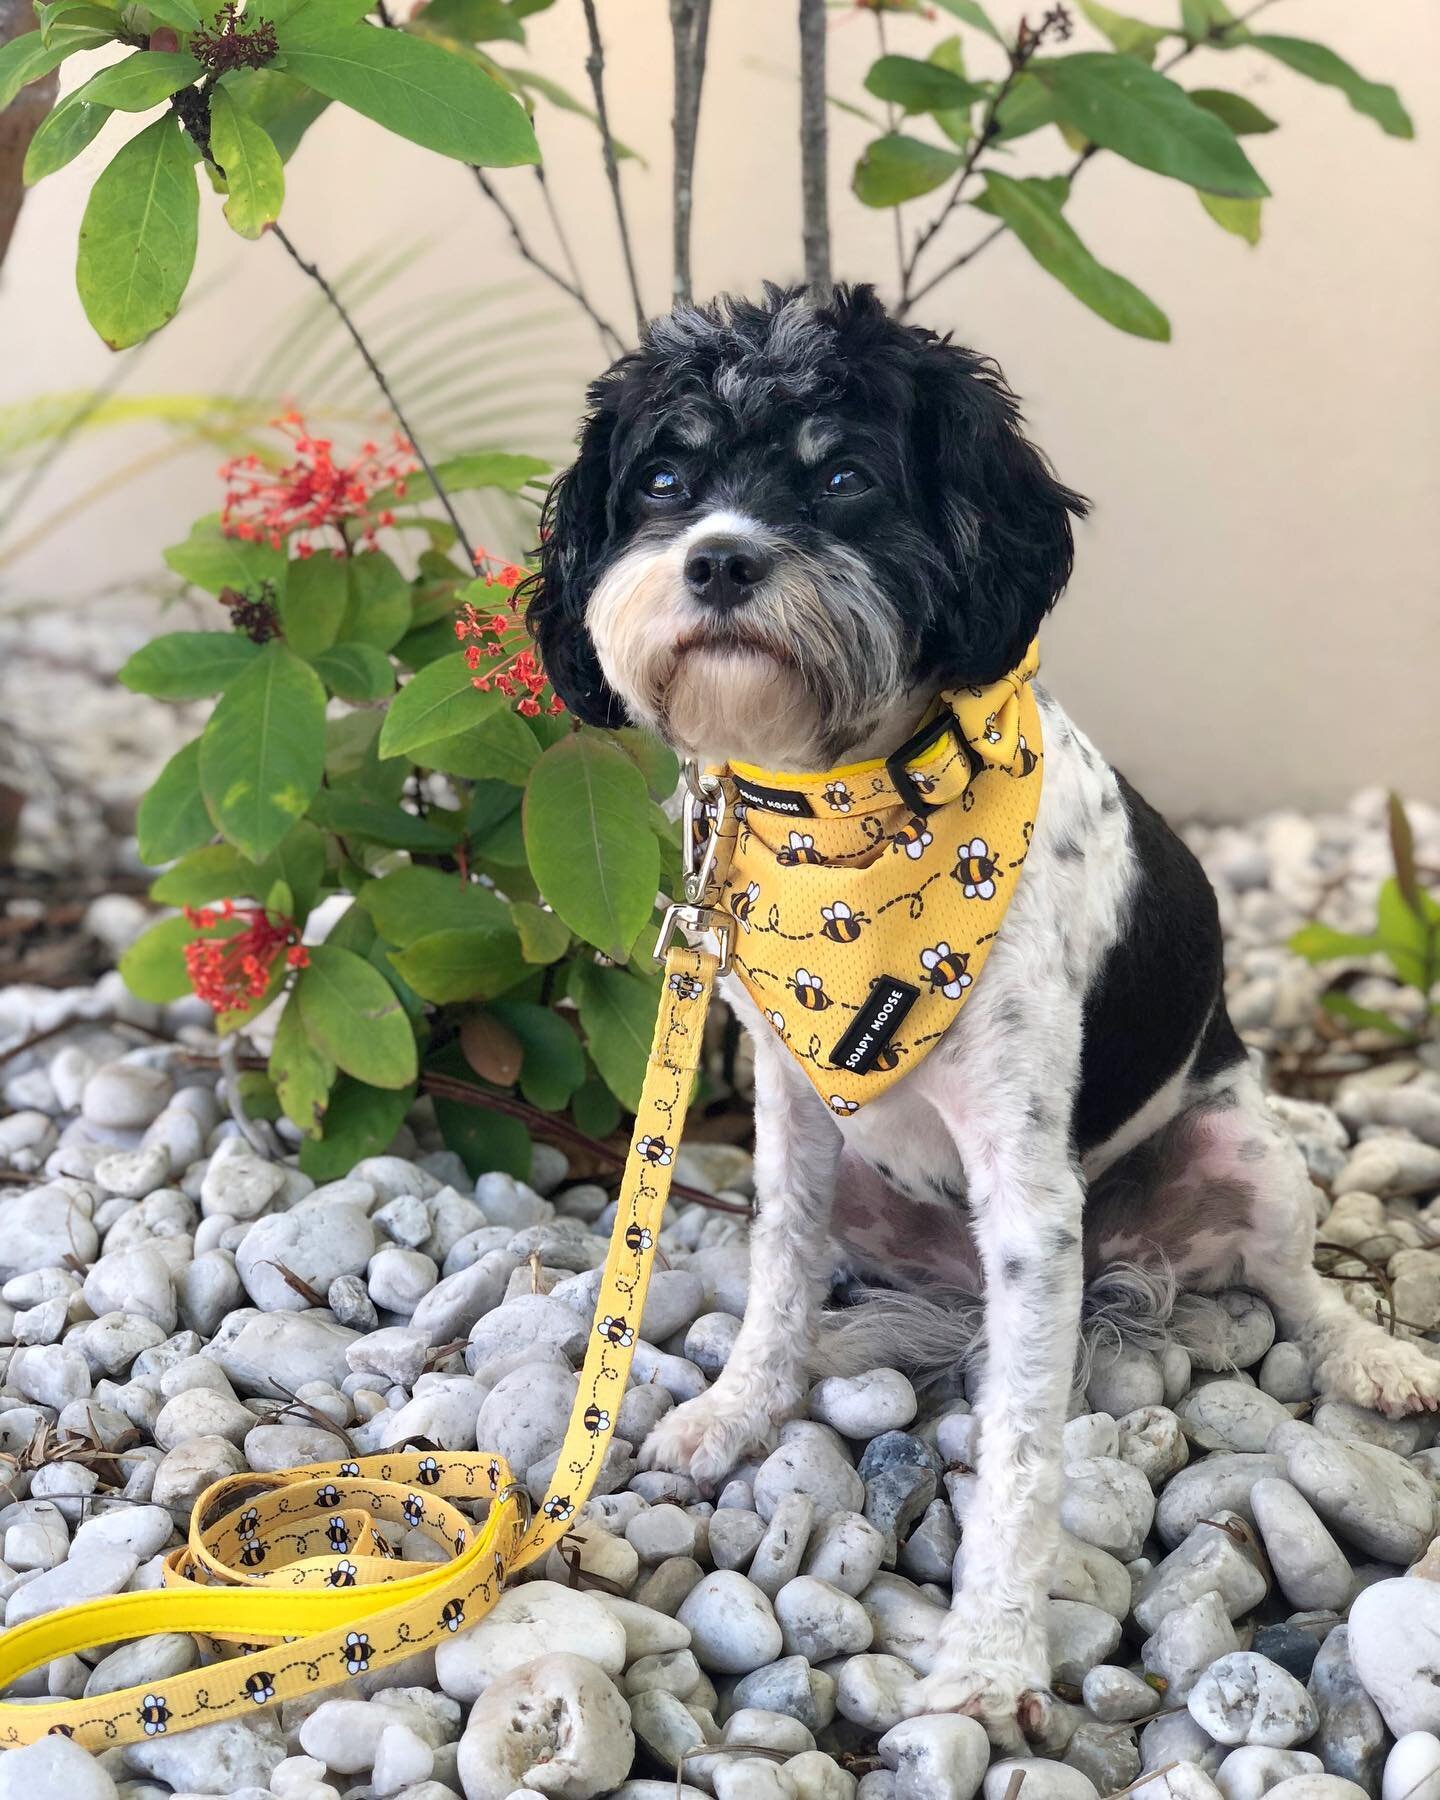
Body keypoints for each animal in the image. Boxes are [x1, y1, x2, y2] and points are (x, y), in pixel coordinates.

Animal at [525, 288, 1440, 1749]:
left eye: (846, 477)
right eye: (663, 484)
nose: (717, 560)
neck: (851, 815)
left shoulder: (1028, 1184)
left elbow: (1019, 1452)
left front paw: (993, 1660)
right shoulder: (788, 1110)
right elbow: (777, 1270)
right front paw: (736, 1411)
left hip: (1243, 1152)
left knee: (1296, 1283)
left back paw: (1370, 1354)